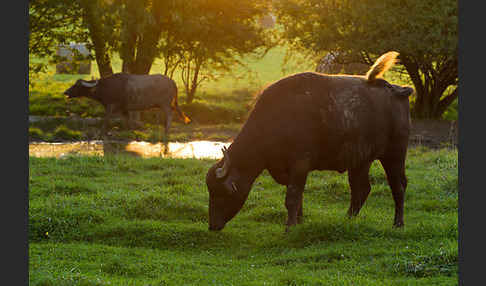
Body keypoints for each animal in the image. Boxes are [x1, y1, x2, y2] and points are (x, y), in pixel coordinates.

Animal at [64, 72, 192, 137]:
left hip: (165, 103)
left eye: (77, 86)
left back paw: (166, 130)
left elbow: (106, 119)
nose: (66, 92)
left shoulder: (111, 106)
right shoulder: (124, 108)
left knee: (170, 114)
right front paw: (129, 130)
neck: (104, 87)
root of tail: (172, 82)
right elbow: (126, 119)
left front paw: (102, 132)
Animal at [205, 51, 414, 231]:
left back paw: (398, 223)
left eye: (222, 192)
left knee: (398, 186)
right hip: (361, 160)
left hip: (394, 154)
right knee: (361, 189)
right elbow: (299, 198)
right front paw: (298, 222)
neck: (277, 118)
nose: (213, 225)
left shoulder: (300, 164)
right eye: (210, 190)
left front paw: (289, 227)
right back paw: (347, 220)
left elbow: (292, 197)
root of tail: (397, 90)